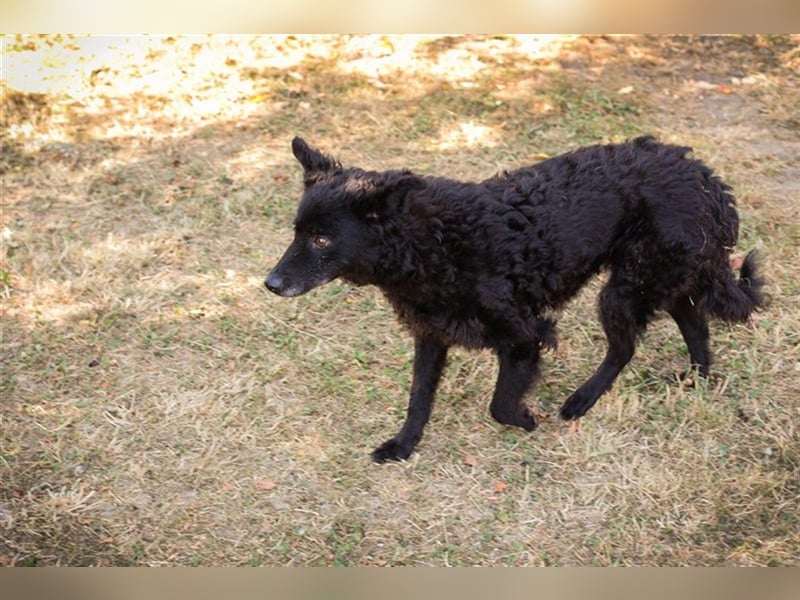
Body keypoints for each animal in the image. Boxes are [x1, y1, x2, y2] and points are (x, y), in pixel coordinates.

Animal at [266, 136, 764, 464]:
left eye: (323, 240)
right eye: (297, 232)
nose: (271, 283)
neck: (435, 242)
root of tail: (704, 177)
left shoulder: (526, 335)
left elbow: (500, 406)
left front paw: (527, 420)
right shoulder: (432, 336)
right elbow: (418, 399)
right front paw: (403, 446)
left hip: (624, 288)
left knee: (626, 347)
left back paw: (581, 401)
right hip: (654, 277)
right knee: (693, 321)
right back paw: (695, 378)